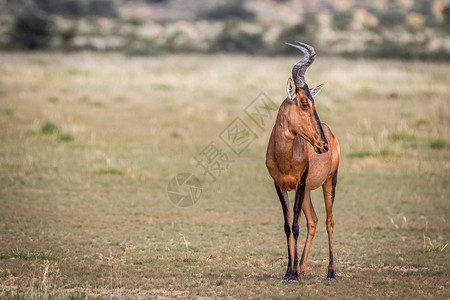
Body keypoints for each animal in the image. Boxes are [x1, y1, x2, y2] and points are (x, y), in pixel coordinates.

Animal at [266, 41, 340, 282]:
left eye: (315, 102)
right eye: (305, 103)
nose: (322, 146)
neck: (285, 156)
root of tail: (330, 133)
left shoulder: (298, 184)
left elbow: (296, 226)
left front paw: (293, 274)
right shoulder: (280, 186)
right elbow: (288, 226)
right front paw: (289, 271)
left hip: (329, 181)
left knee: (328, 221)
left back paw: (330, 271)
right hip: (307, 190)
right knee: (313, 220)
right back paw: (303, 268)